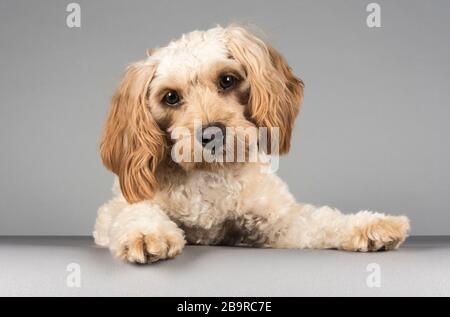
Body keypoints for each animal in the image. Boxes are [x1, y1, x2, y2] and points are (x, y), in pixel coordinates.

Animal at [95, 24, 412, 262]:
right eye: (170, 97)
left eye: (227, 80)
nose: (212, 134)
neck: (210, 174)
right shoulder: (112, 212)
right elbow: (135, 212)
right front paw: (146, 234)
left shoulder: (276, 220)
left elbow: (320, 220)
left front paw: (372, 224)